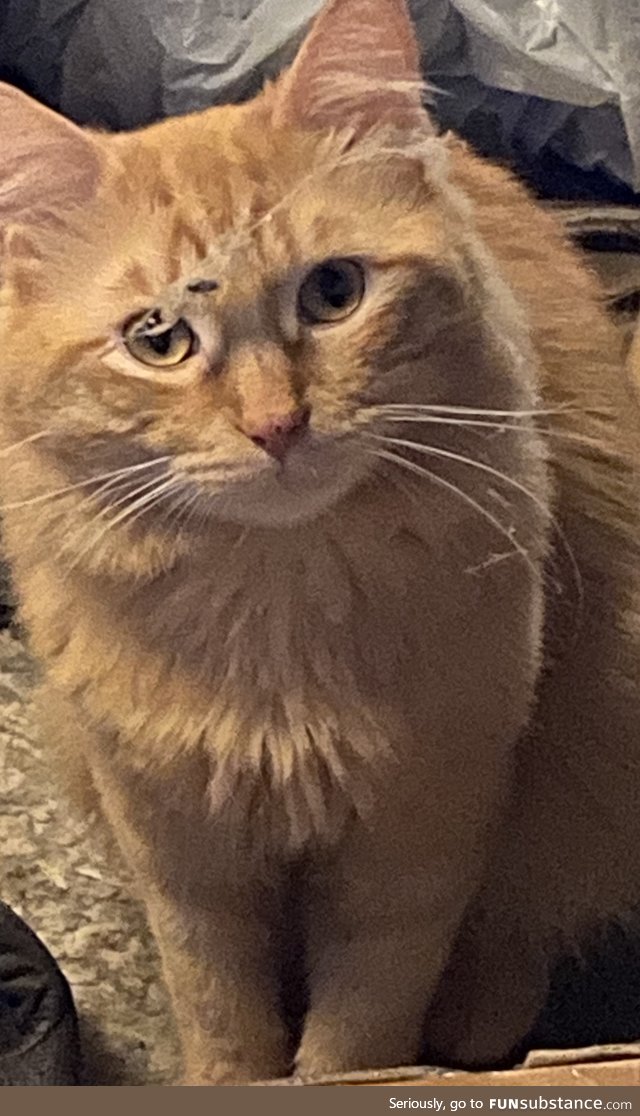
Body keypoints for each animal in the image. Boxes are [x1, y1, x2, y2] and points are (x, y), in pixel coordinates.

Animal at [1, 0, 638, 1084]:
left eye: (333, 292)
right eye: (158, 338)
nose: (275, 426)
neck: (275, 623)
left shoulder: (415, 844)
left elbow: (360, 1033)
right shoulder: (179, 847)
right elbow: (221, 1011)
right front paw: (227, 1082)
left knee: (530, 926)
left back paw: (480, 1029)